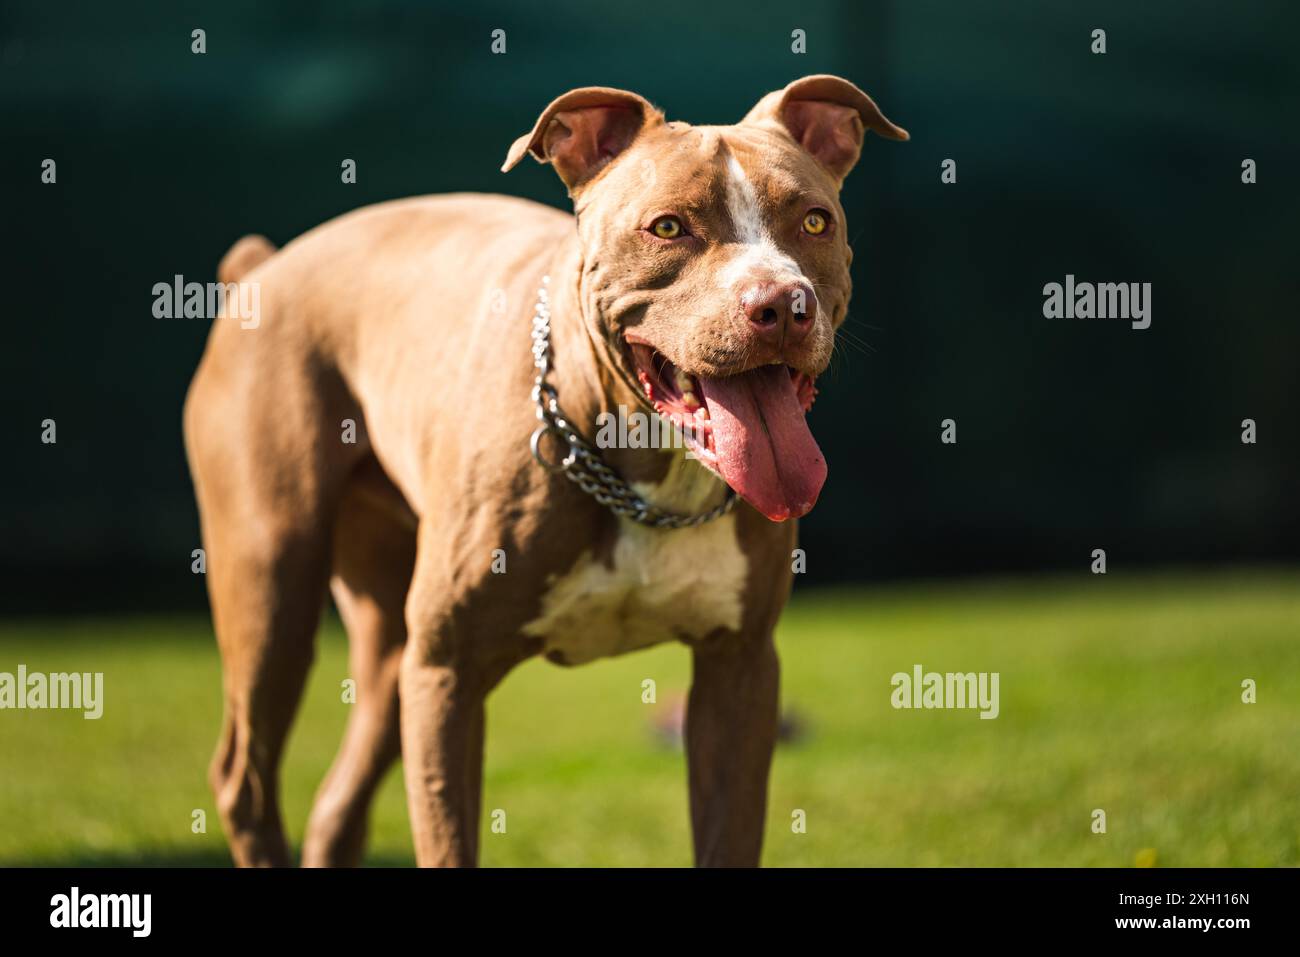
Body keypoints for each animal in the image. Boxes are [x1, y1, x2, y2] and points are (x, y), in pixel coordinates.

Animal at [183, 74, 909, 868]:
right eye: (667, 228)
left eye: (814, 221)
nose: (782, 304)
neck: (644, 478)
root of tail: (266, 263)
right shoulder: (448, 671)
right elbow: (447, 837)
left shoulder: (739, 668)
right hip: (271, 584)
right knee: (243, 776)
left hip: (385, 648)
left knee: (338, 797)